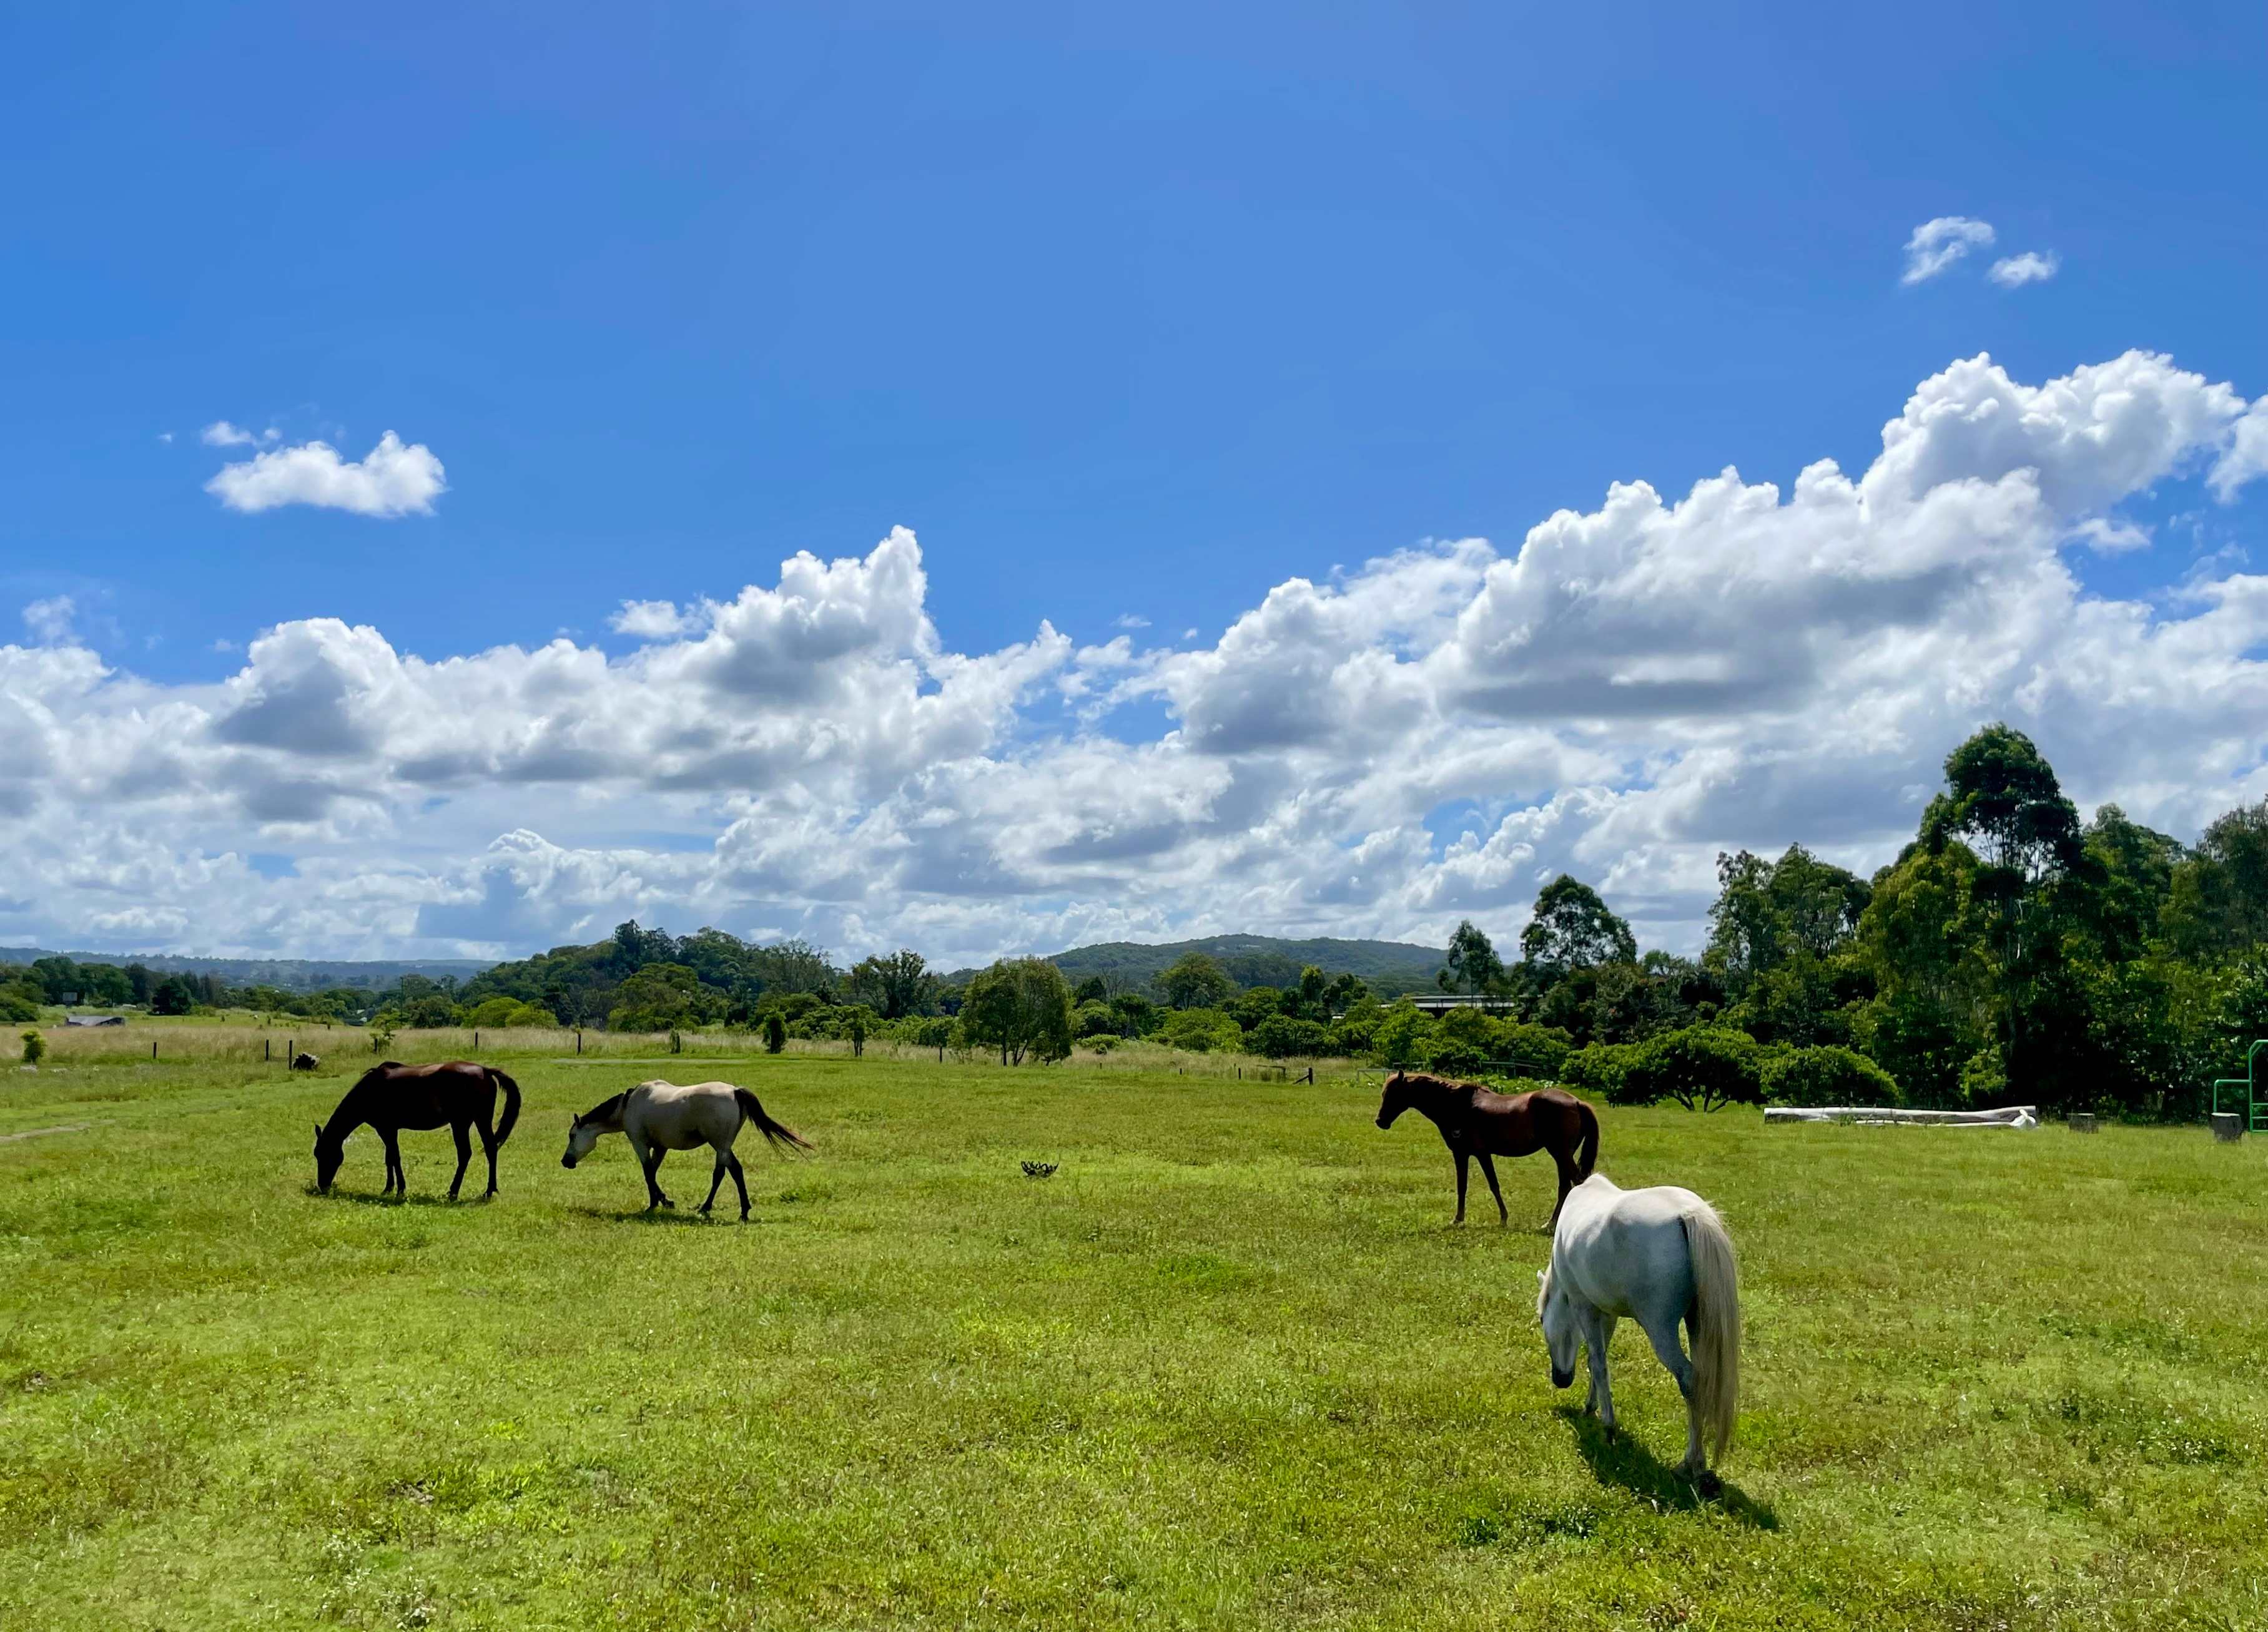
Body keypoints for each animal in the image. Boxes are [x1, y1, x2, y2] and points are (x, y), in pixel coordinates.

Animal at [313, 1060, 522, 1200]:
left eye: (323, 1154)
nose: (322, 1185)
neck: (371, 1090)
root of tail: (485, 1071)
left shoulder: (386, 1129)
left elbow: (395, 1158)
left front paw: (400, 1190)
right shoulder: (389, 1130)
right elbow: (389, 1159)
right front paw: (388, 1188)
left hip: (461, 1124)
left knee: (465, 1154)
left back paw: (454, 1192)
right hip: (480, 1121)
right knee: (491, 1149)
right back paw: (489, 1190)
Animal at [562, 1080, 811, 1220]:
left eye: (572, 1136)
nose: (566, 1161)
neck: (628, 1105)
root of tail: (735, 1091)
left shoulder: (640, 1144)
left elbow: (648, 1174)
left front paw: (659, 1203)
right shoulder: (660, 1147)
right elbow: (653, 1173)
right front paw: (660, 1202)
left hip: (720, 1145)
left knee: (723, 1173)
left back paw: (712, 1208)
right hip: (724, 1146)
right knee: (733, 1172)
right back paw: (739, 1210)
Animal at [1374, 1070, 1600, 1227]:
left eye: (1393, 1094)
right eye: (1384, 1093)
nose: (1380, 1121)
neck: (1458, 1107)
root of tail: (1577, 1102)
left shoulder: (1471, 1154)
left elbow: (1488, 1185)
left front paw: (1490, 1219)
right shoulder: (1470, 1154)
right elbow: (1468, 1186)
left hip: (1560, 1153)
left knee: (1577, 1183)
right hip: (1562, 1155)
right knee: (1566, 1188)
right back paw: (1552, 1223)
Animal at [1537, 1172, 1741, 1487]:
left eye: (1541, 1321)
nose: (1560, 1379)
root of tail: (1688, 1214)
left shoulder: (1584, 1307)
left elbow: (1598, 1363)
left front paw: (1608, 1427)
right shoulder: (1607, 1312)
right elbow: (1598, 1359)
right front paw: (1590, 1406)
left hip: (1660, 1329)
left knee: (1690, 1380)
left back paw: (1690, 1463)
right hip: (1698, 1324)